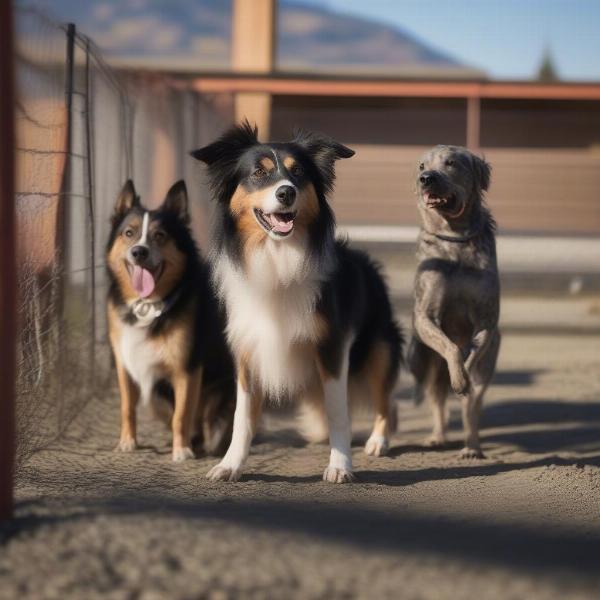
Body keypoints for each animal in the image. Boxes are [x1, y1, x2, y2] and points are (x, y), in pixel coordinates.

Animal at [408, 145, 502, 460]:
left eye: (451, 163)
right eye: (421, 165)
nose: (426, 178)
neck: (455, 237)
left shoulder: (487, 319)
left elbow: (473, 353)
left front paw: (464, 375)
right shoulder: (425, 314)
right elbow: (449, 346)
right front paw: (459, 375)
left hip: (491, 362)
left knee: (472, 405)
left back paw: (472, 446)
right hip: (420, 360)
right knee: (436, 399)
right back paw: (436, 437)